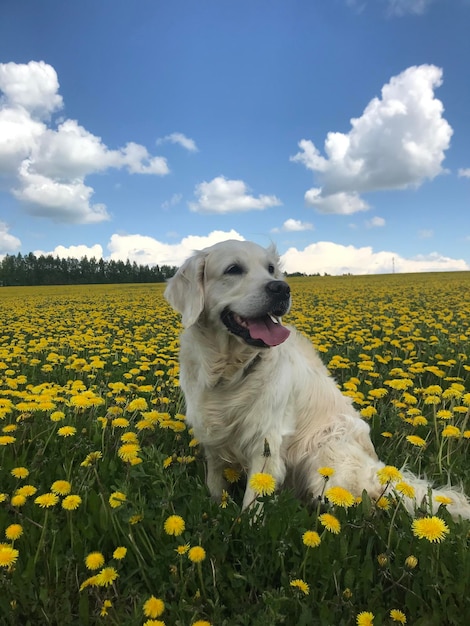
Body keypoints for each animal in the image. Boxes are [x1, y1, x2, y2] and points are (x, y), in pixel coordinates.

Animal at [164, 239, 470, 516]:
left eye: (271, 269)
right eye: (233, 269)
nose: (281, 288)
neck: (229, 371)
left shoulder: (266, 442)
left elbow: (253, 501)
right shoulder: (211, 435)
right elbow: (215, 481)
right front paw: (216, 507)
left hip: (324, 454)